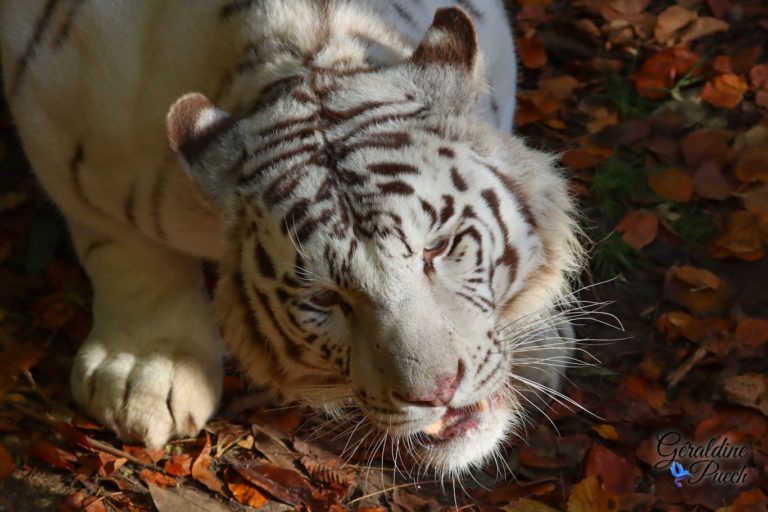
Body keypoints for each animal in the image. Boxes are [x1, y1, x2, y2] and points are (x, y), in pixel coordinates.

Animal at [1, 0, 584, 474]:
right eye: (324, 298)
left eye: (437, 248)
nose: (437, 394)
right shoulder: (57, 117)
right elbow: (127, 250)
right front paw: (143, 377)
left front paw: (537, 340)